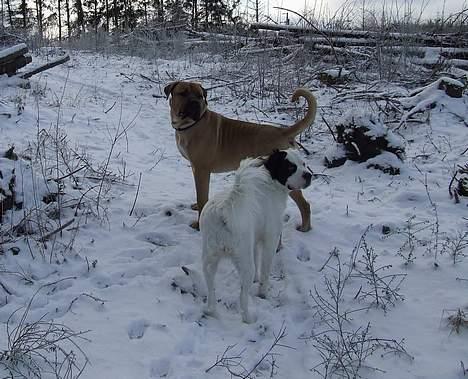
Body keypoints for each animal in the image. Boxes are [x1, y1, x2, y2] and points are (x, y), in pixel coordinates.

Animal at [165, 81, 318, 232]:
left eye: (199, 95)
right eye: (183, 93)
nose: (195, 103)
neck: (191, 125)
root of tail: (283, 131)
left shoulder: (202, 170)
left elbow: (202, 196)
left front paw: (198, 224)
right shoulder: (195, 167)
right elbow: (201, 194)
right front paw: (197, 206)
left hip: (289, 178)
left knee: (305, 204)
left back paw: (305, 227)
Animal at [199, 149, 312, 324]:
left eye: (304, 163)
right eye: (290, 167)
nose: (309, 175)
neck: (271, 183)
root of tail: (223, 209)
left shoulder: (254, 240)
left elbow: (256, 258)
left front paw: (256, 281)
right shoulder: (270, 239)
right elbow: (265, 272)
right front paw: (263, 293)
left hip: (209, 260)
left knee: (211, 290)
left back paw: (211, 311)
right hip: (244, 263)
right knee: (242, 298)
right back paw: (248, 318)